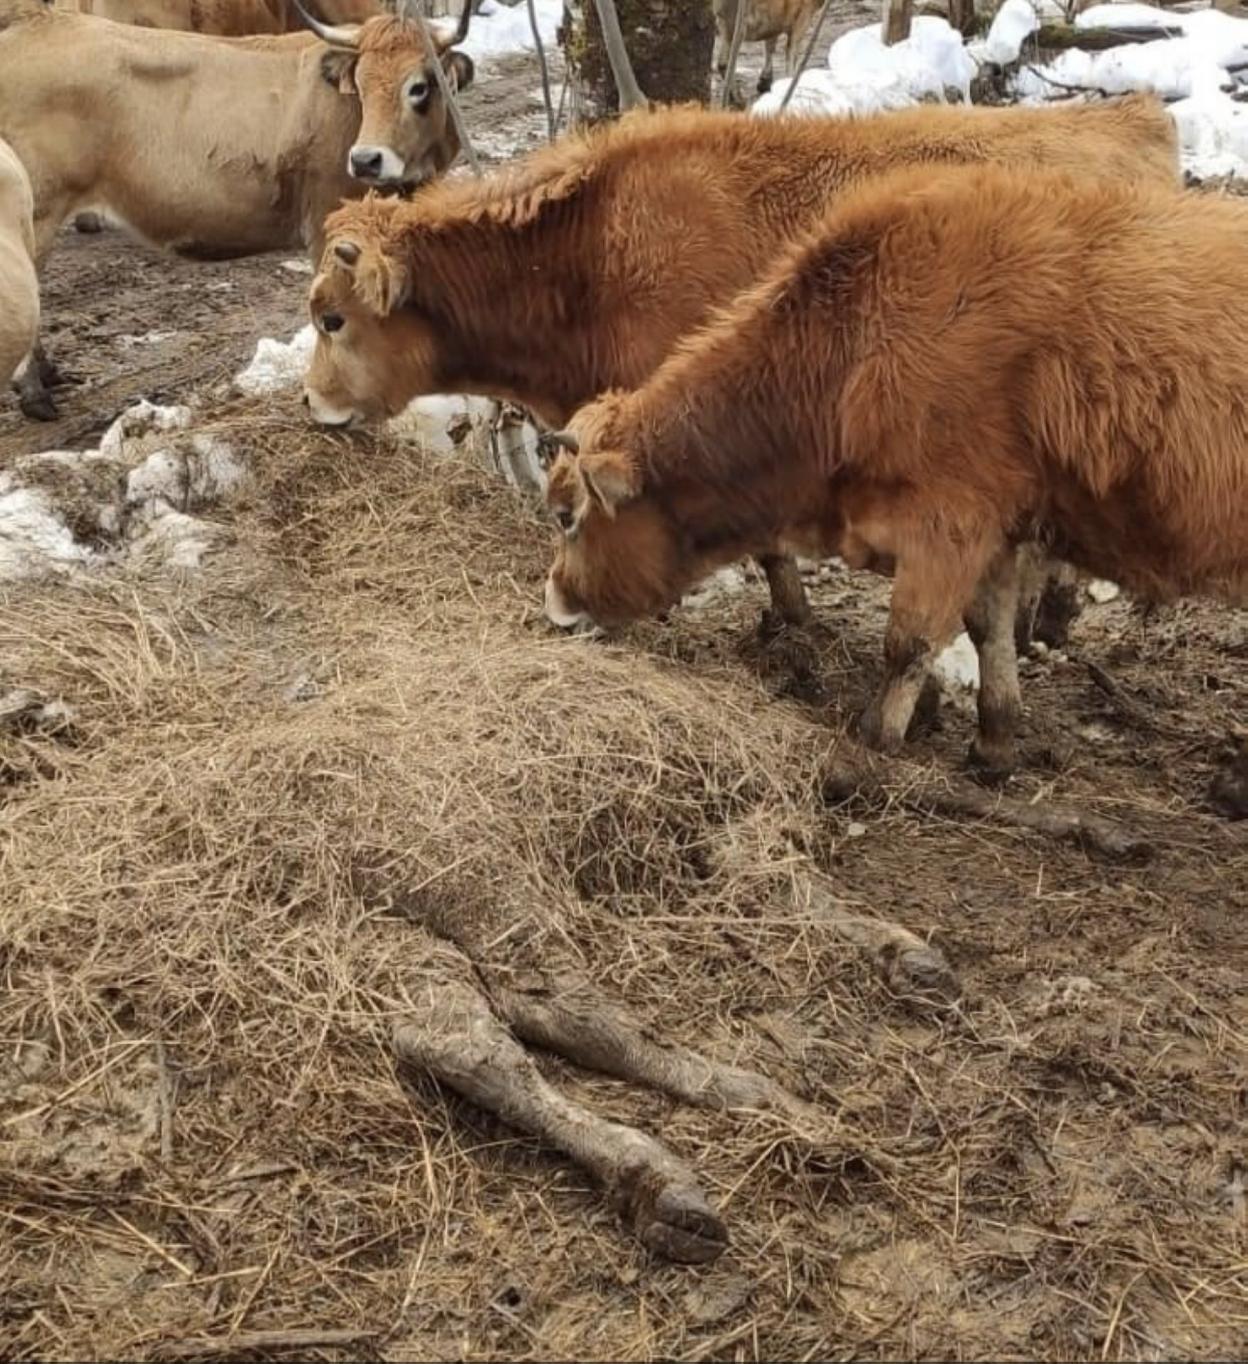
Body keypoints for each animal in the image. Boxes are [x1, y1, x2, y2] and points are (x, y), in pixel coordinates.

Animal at [0, 0, 474, 417]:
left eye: (419, 86)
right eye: (359, 82)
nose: (365, 160)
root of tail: (33, 20)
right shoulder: (326, 219)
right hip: (38, 211)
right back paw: (35, 394)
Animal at [542, 165, 1248, 774]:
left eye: (567, 517)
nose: (554, 600)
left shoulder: (948, 521)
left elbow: (908, 641)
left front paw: (874, 738)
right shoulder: (995, 526)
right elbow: (988, 630)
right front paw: (994, 742)